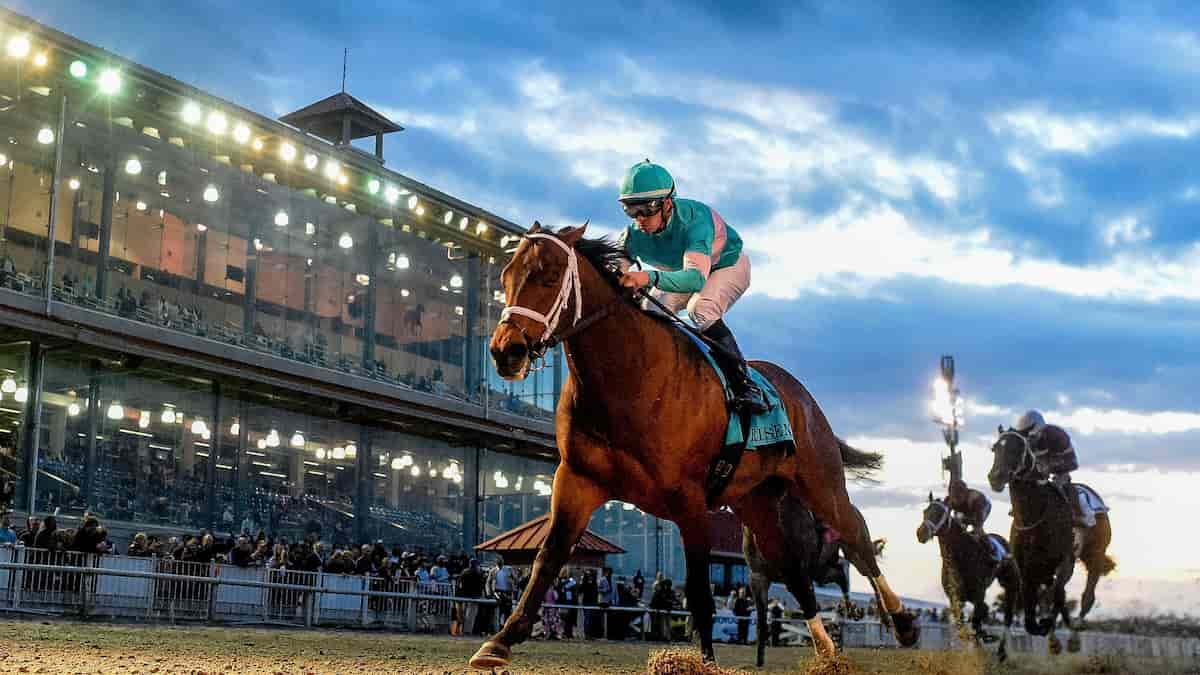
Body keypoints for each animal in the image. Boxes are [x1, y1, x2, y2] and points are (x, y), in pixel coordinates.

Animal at [739, 494, 864, 667]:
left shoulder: (796, 577)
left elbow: (811, 612)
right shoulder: (758, 578)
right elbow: (761, 621)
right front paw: (759, 661)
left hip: (818, 570)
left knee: (840, 574)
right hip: (818, 571)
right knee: (839, 573)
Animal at [912, 494, 1017, 658]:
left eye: (940, 513)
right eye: (925, 511)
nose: (921, 533)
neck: (961, 555)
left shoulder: (979, 594)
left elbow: (975, 622)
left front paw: (984, 639)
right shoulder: (955, 598)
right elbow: (962, 625)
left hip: (1010, 584)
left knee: (1007, 618)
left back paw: (1001, 652)